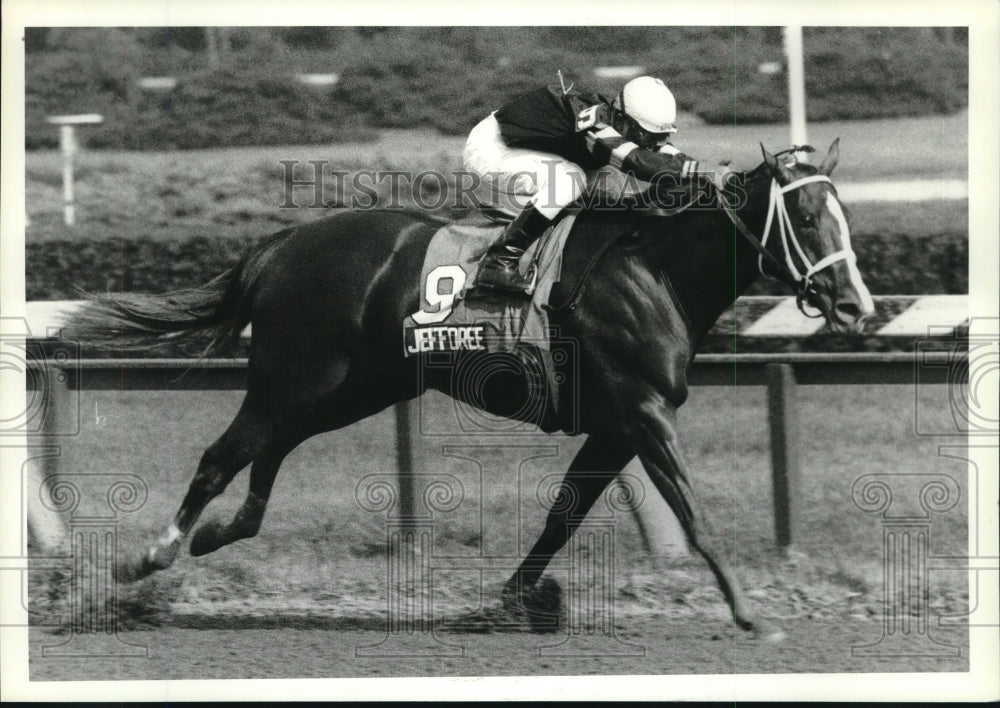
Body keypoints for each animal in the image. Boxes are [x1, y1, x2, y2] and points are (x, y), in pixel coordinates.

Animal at [68, 141, 868, 640]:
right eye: (805, 217)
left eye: (843, 215)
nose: (856, 304)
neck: (653, 270)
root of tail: (282, 245)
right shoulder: (643, 414)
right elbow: (695, 519)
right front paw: (752, 616)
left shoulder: (616, 426)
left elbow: (561, 517)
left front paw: (513, 601)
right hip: (295, 378)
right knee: (220, 455)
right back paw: (150, 556)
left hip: (347, 389)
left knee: (268, 452)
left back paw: (216, 533)